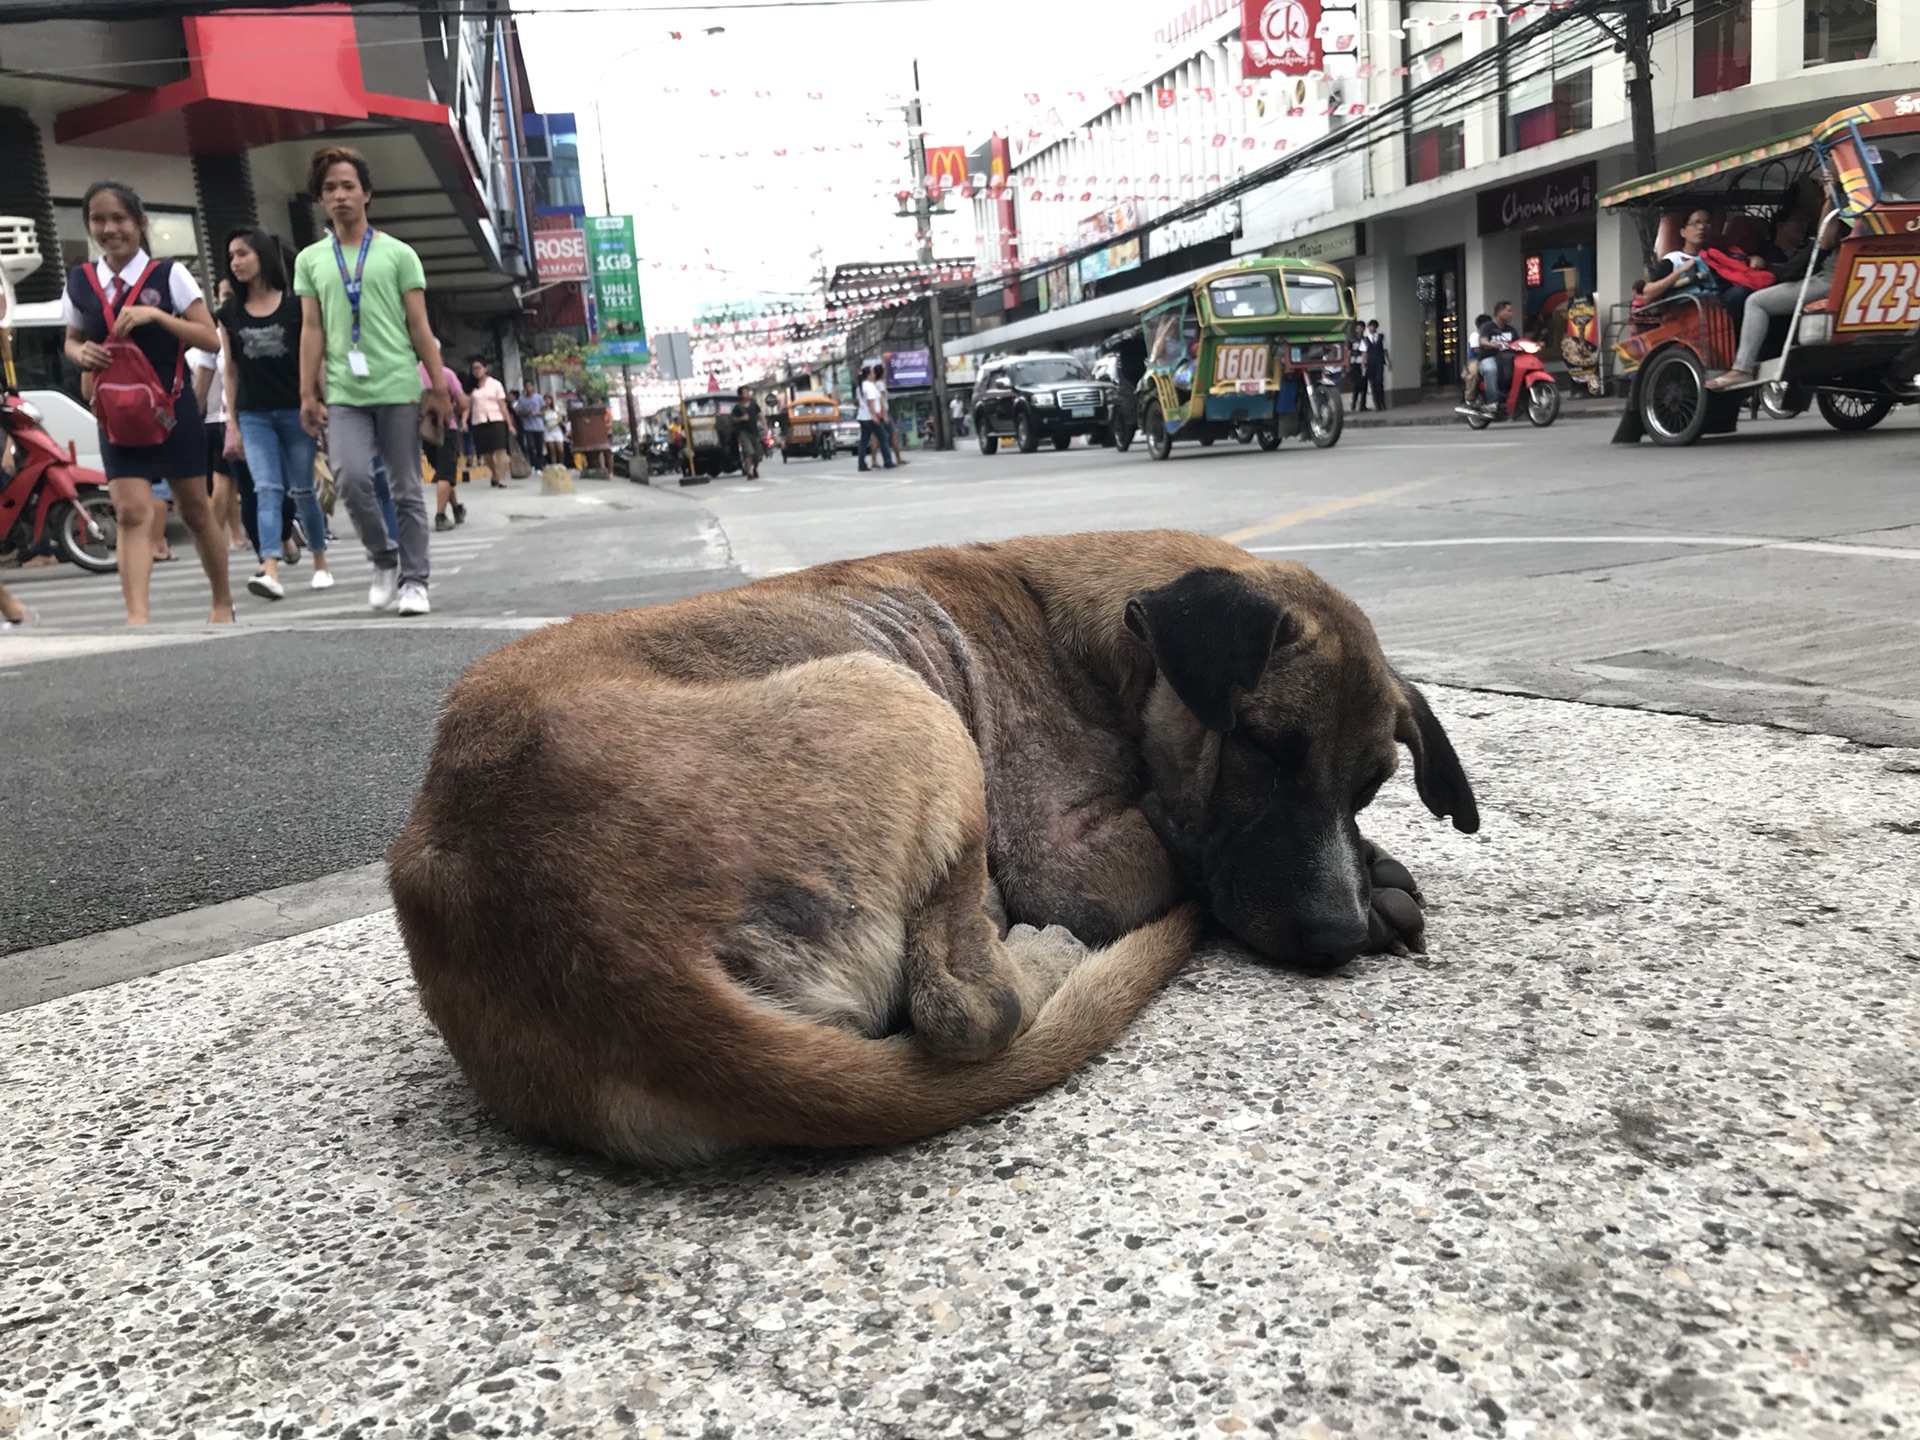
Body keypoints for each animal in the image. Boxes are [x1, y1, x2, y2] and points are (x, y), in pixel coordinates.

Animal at [385, 537, 1466, 1167]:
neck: (1099, 636)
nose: (1335, 933)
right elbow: (1168, 848)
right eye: (1263, 748)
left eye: (1370, 785)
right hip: (907, 700)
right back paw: (1039, 961)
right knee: (969, 1009)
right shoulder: (1075, 856)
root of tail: (607, 954)